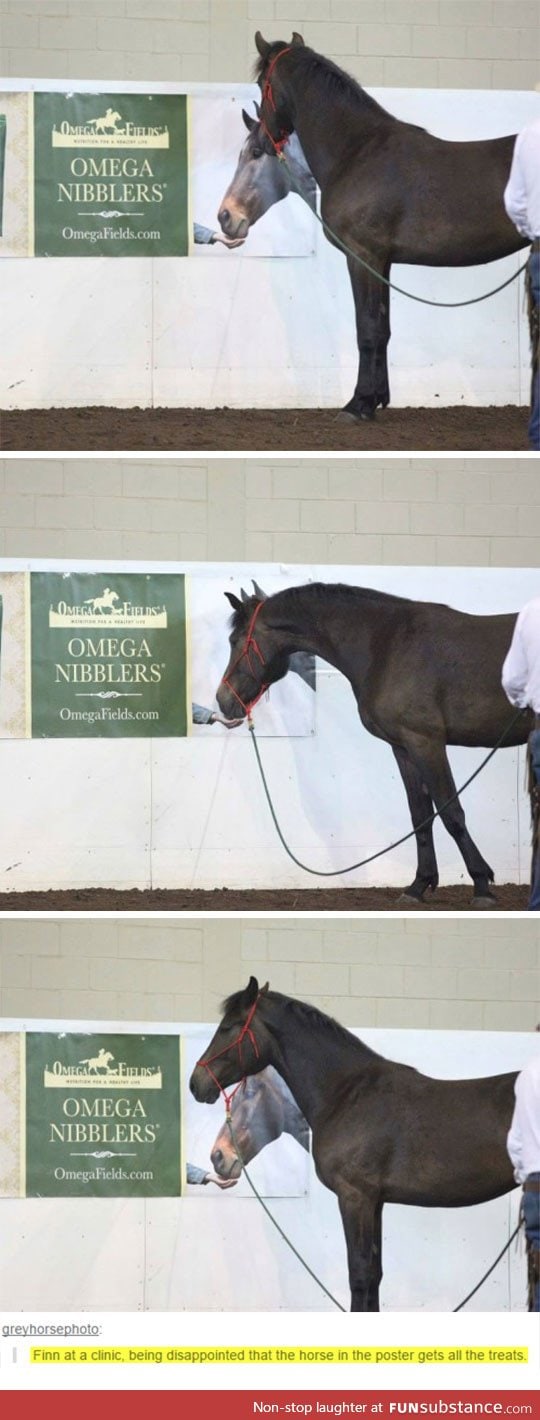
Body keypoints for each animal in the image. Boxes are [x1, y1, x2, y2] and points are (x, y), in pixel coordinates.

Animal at [190, 982, 520, 1312]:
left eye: (228, 1026)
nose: (196, 1083)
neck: (346, 1094)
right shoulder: (376, 1201)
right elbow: (375, 1275)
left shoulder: (355, 1197)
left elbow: (360, 1274)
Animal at [215, 582, 531, 903]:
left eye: (234, 640)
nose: (223, 700)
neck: (387, 645)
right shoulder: (404, 748)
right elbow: (420, 815)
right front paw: (418, 885)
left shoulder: (426, 743)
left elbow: (451, 812)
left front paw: (481, 885)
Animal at [217, 31, 525, 420]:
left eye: (261, 82)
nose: (264, 136)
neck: (357, 150)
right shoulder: (384, 262)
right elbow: (384, 327)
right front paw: (378, 397)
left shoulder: (363, 256)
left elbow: (367, 328)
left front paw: (358, 403)